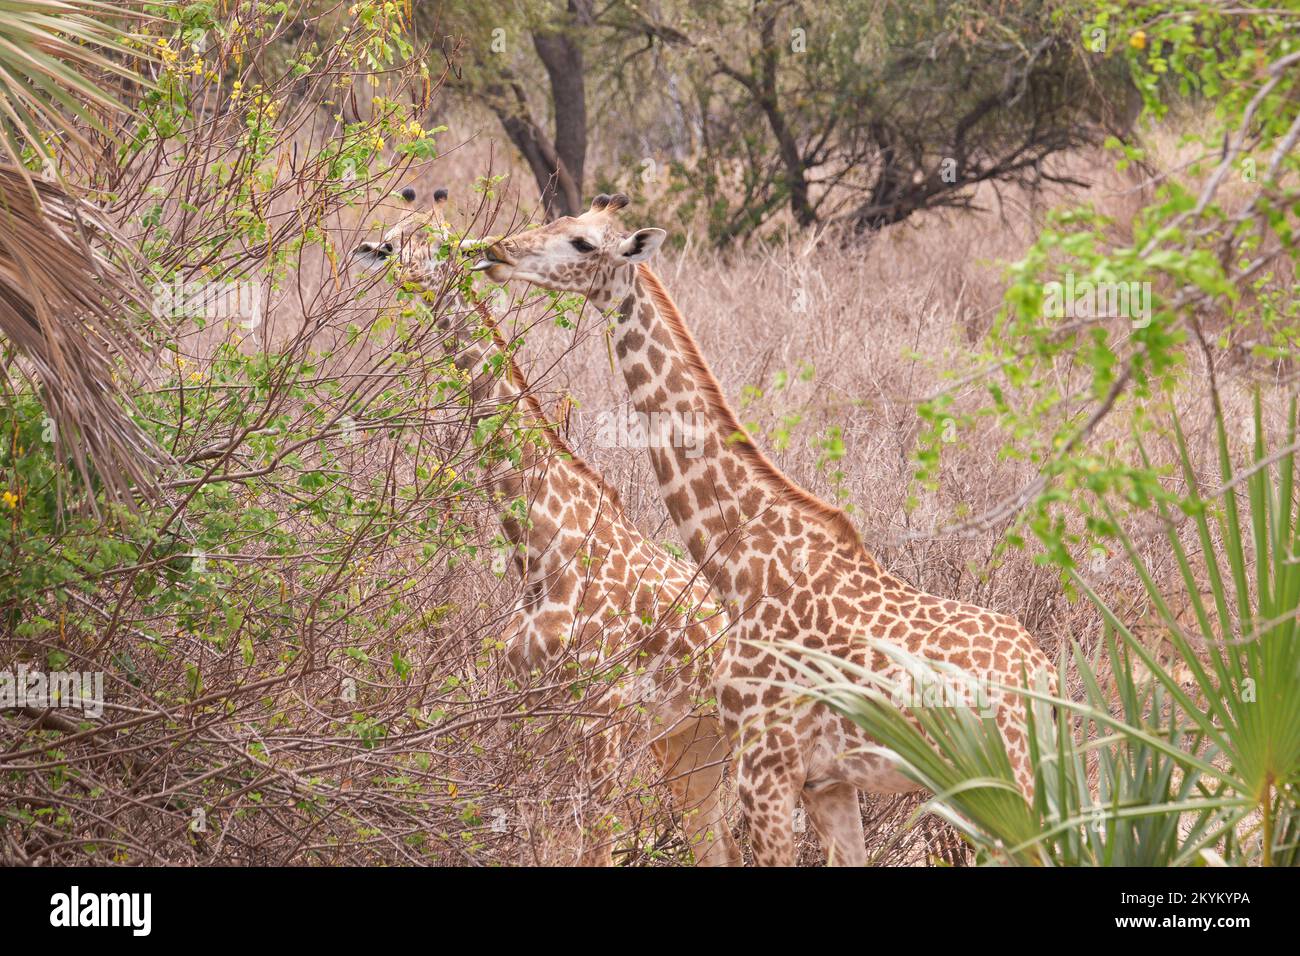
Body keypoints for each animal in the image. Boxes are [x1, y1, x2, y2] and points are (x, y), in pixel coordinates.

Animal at [352, 189, 741, 866]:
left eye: (439, 243)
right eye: (392, 239)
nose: (398, 265)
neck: (538, 550)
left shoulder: (602, 710)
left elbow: (596, 842)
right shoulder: (527, 703)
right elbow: (531, 828)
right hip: (688, 742)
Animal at [472, 193, 1056, 866]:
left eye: (583, 244)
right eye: (558, 221)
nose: (496, 250)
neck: (741, 565)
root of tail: (1049, 676)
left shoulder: (767, 768)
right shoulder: (824, 781)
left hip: (1006, 786)